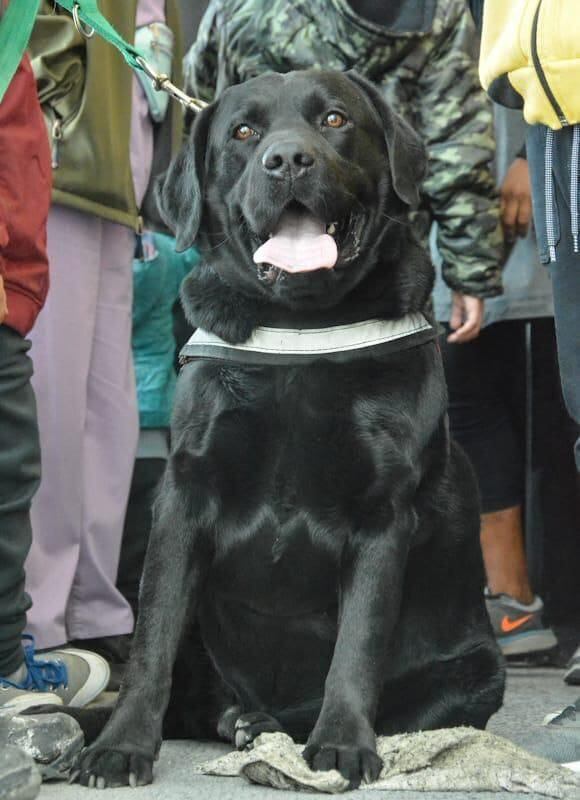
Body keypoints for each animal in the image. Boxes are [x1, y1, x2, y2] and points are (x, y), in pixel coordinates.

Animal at [70, 72, 502, 792]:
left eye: (334, 120)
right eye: (244, 132)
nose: (289, 160)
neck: (301, 326)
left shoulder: (383, 513)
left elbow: (357, 643)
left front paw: (342, 744)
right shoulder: (184, 498)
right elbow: (151, 640)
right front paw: (121, 746)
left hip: (478, 671)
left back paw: (266, 731)